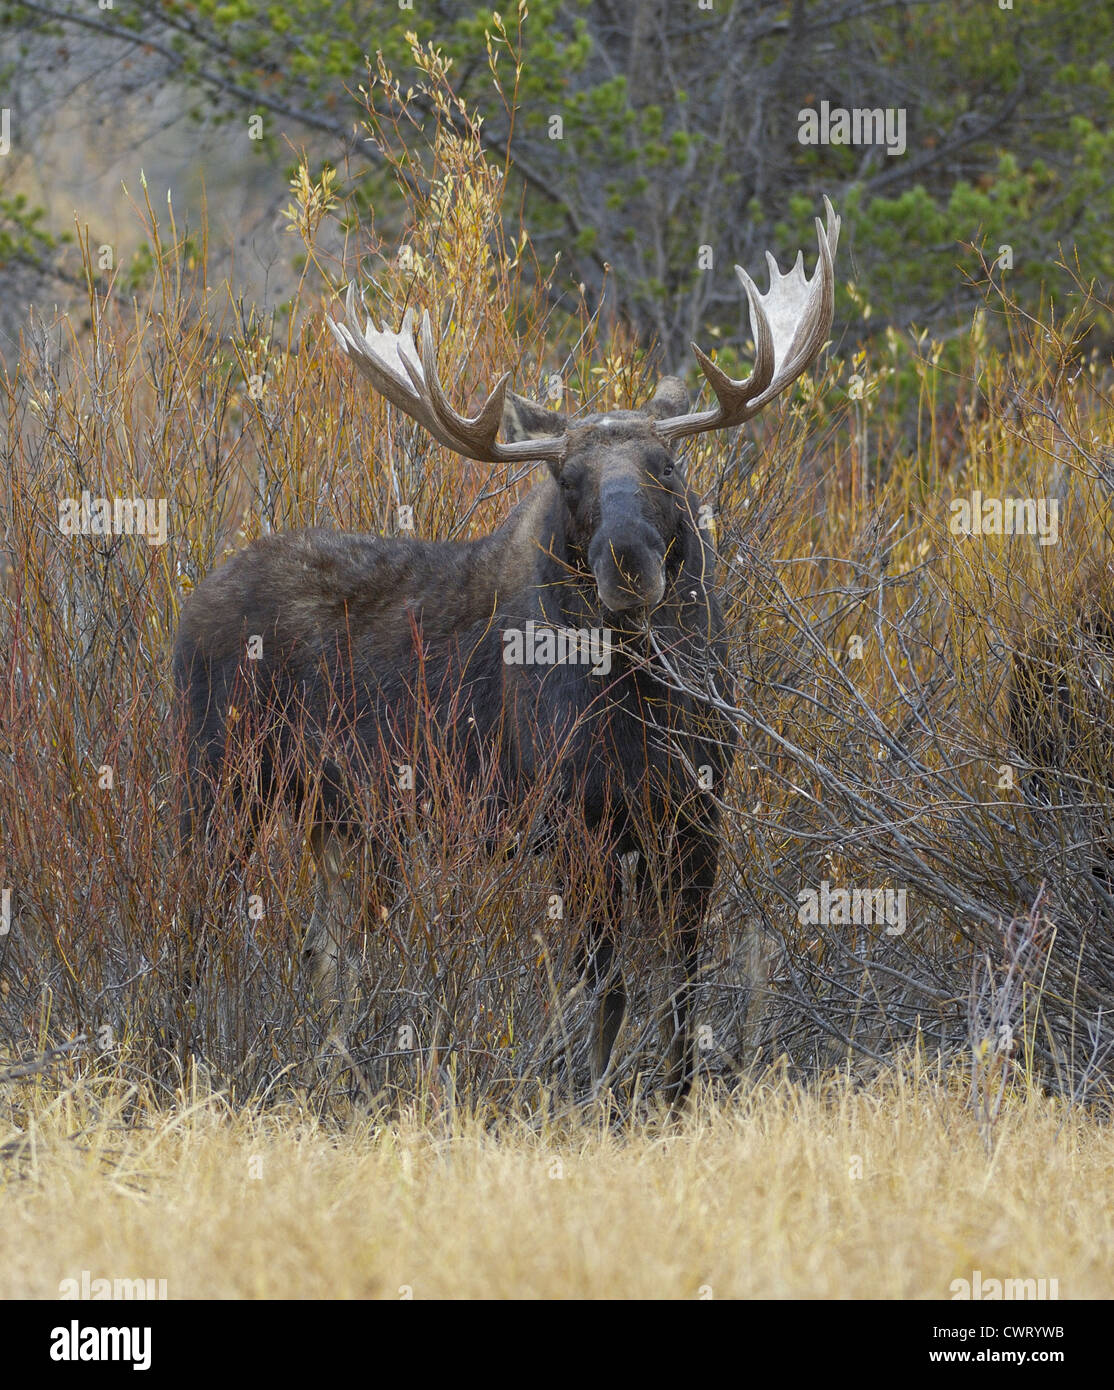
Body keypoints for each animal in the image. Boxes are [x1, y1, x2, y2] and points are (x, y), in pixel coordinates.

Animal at [171, 195, 834, 1106]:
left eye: (667, 464)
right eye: (567, 481)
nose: (630, 564)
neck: (651, 699)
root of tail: (185, 612)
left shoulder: (697, 817)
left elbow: (682, 985)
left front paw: (672, 1098)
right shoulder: (581, 824)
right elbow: (606, 987)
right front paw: (590, 1101)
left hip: (343, 822)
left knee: (326, 952)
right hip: (221, 783)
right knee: (195, 925)